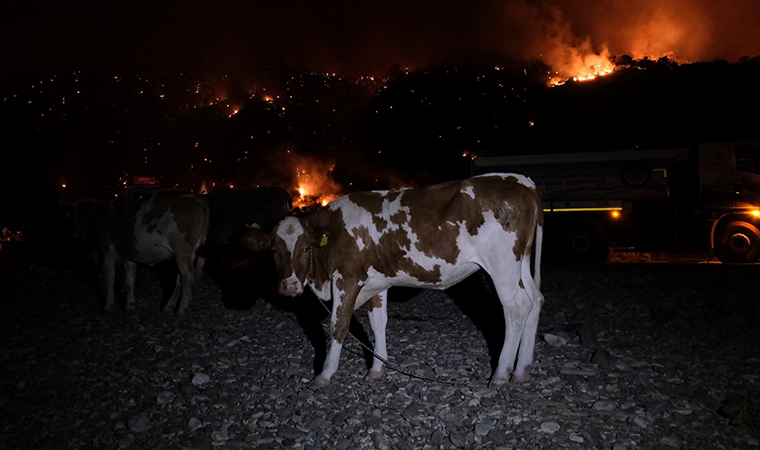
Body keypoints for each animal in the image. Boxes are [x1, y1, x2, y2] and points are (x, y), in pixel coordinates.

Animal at [72, 192, 211, 314]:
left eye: (75, 218)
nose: (75, 234)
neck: (95, 219)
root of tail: (194, 197)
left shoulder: (105, 254)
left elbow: (110, 281)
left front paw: (108, 307)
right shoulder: (129, 255)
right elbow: (129, 280)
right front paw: (129, 307)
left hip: (182, 250)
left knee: (187, 275)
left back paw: (181, 309)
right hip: (187, 253)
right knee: (179, 278)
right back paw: (169, 306)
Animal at [240, 174, 544, 388]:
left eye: (305, 249)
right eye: (274, 250)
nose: (289, 285)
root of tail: (520, 180)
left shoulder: (346, 280)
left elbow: (339, 325)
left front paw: (324, 374)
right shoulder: (376, 284)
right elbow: (378, 324)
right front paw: (376, 370)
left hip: (502, 265)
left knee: (516, 308)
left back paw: (501, 374)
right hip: (521, 263)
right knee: (535, 300)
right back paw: (522, 369)